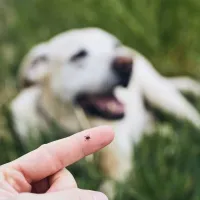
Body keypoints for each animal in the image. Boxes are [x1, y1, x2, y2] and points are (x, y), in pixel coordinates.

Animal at [10, 27, 200, 198]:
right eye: (79, 55)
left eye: (115, 46)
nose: (127, 63)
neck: (72, 125)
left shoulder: (119, 164)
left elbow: (111, 187)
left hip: (162, 95)